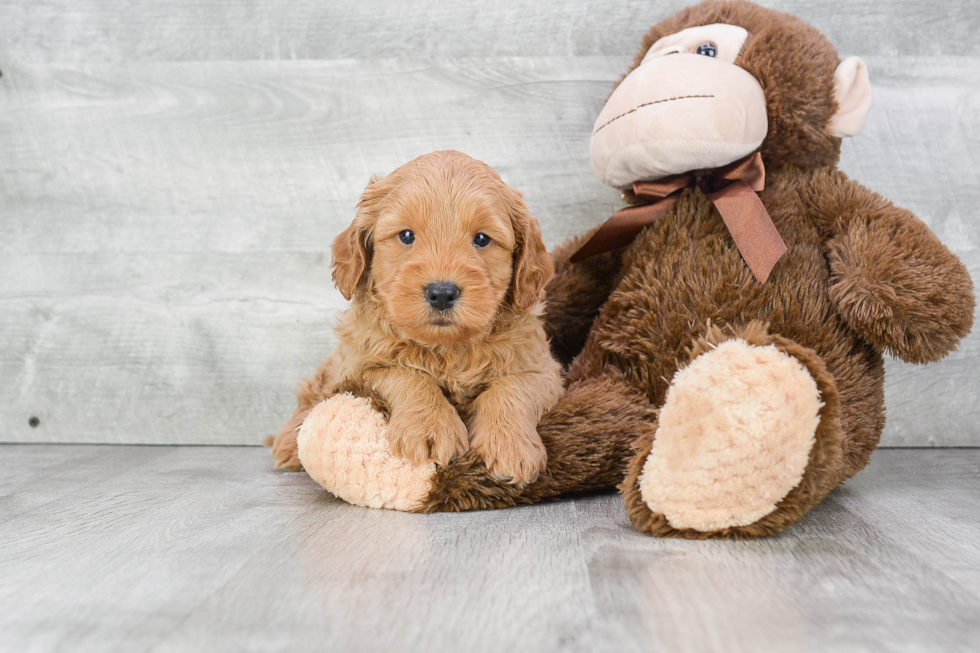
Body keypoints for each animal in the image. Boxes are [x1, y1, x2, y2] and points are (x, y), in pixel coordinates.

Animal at [268, 149, 564, 484]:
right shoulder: (358, 367)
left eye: (482, 239)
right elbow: (407, 374)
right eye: (407, 235)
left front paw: (511, 446)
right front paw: (430, 427)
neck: (447, 348)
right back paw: (289, 443)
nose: (442, 292)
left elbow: (512, 387)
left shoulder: (544, 370)